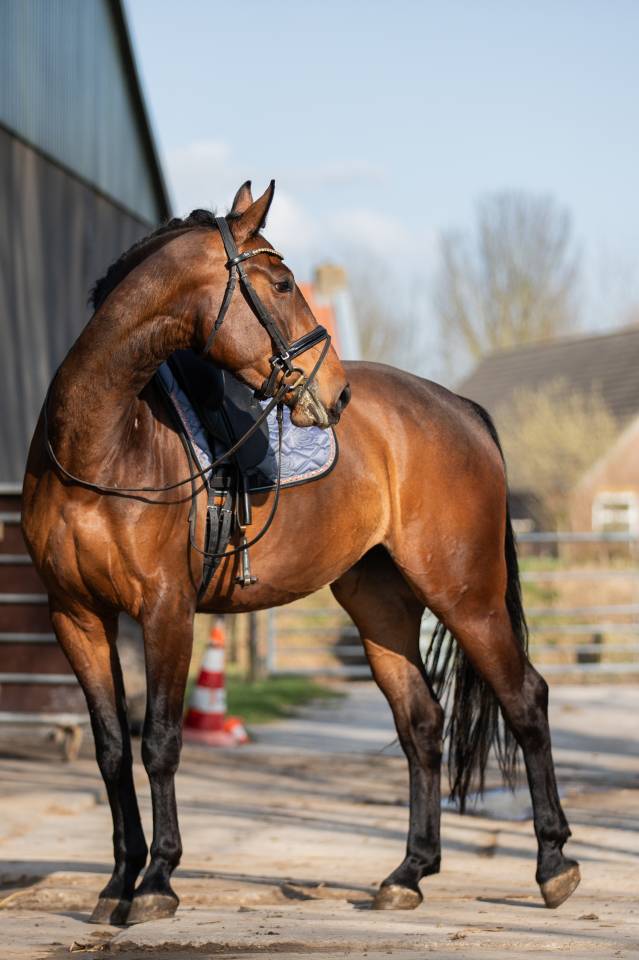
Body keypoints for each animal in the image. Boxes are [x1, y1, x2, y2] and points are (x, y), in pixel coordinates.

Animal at [21, 181, 580, 926]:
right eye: (283, 284)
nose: (335, 392)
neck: (105, 442)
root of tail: (460, 408)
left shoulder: (166, 610)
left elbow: (160, 742)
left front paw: (157, 882)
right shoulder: (77, 616)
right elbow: (112, 751)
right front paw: (117, 882)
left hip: (466, 594)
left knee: (525, 700)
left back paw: (553, 864)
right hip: (381, 606)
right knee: (421, 722)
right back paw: (409, 872)